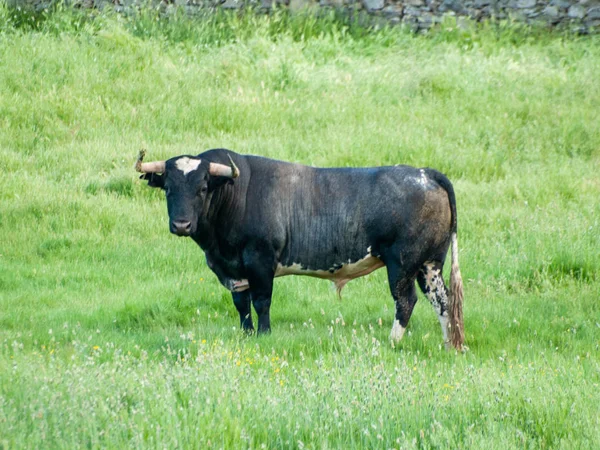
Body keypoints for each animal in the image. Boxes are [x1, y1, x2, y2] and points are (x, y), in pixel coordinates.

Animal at [136, 149, 464, 350]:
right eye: (168, 188)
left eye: (203, 188)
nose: (181, 224)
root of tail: (423, 172)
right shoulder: (234, 271)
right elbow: (241, 305)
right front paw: (246, 334)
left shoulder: (260, 260)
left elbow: (262, 302)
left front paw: (264, 334)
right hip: (429, 263)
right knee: (442, 300)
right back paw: (448, 344)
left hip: (403, 263)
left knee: (406, 300)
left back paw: (392, 342)